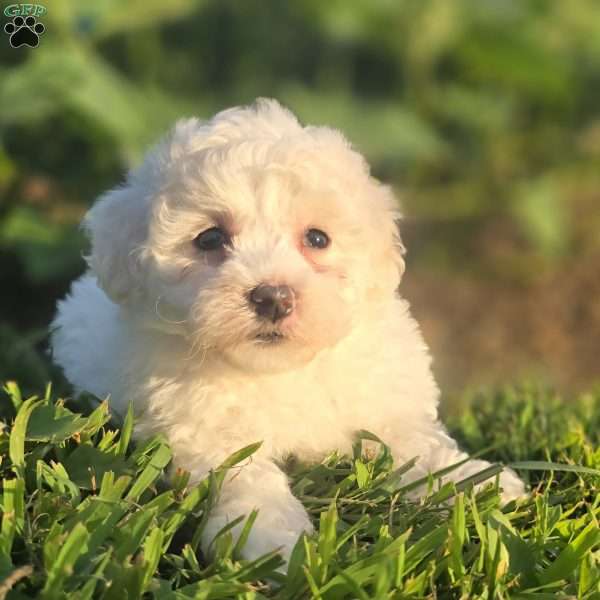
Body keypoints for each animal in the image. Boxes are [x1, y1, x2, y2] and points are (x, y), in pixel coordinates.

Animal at [51, 98, 524, 564]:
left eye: (317, 238)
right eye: (209, 239)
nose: (273, 298)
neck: (282, 368)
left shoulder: (383, 404)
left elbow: (417, 444)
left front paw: (479, 483)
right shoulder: (209, 432)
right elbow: (247, 475)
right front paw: (272, 539)